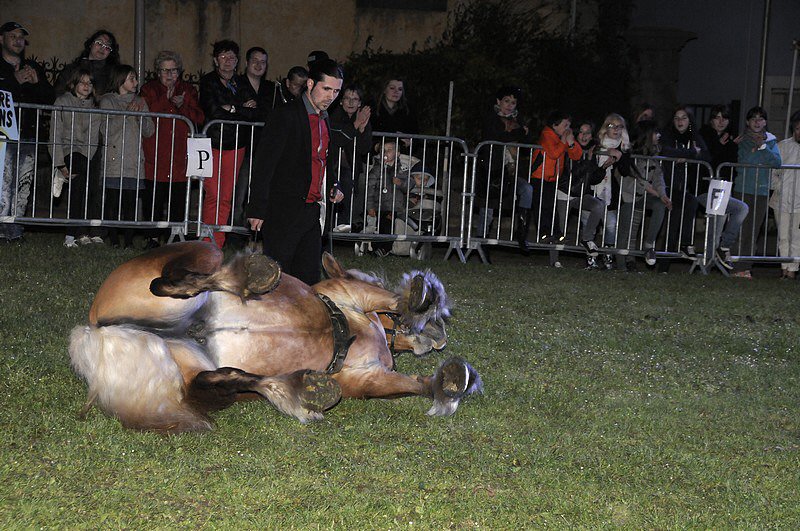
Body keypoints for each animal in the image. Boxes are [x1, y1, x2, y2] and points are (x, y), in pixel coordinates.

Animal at [68, 241, 482, 433]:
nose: (437, 335)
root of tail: (95, 327)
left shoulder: (365, 378)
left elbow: (415, 385)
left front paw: (448, 381)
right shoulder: (350, 294)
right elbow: (388, 298)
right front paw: (421, 299)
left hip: (189, 373)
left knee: (222, 378)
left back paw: (300, 389)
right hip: (204, 252)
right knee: (173, 280)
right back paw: (252, 276)